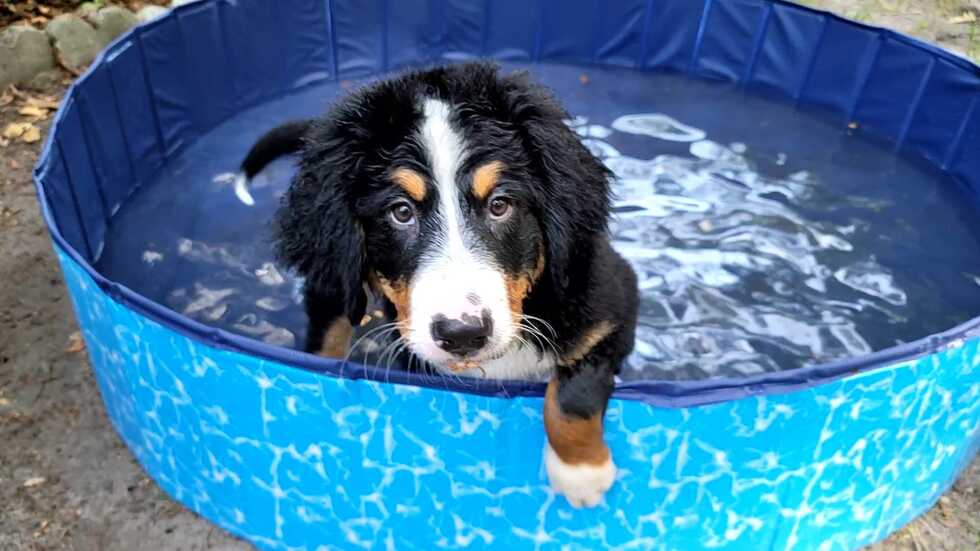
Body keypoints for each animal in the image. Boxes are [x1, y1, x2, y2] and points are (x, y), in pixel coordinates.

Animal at [238, 62, 638, 508]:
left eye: (500, 205)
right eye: (401, 212)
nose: (463, 333)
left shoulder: (611, 306)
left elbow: (573, 393)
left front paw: (580, 472)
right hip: (335, 280)